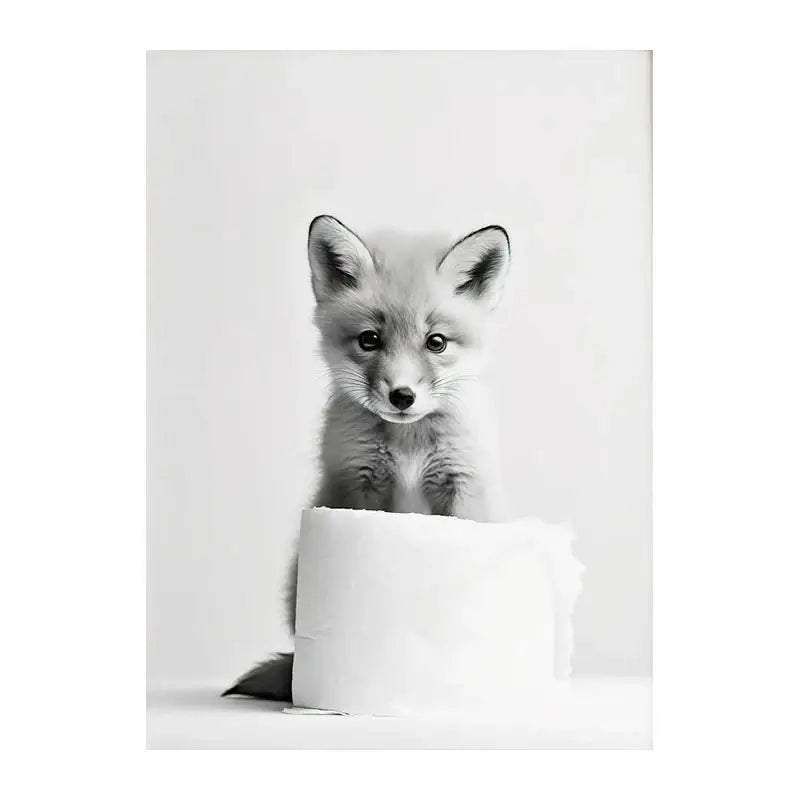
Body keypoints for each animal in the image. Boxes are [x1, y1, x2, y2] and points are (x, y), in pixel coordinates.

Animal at [223, 215, 512, 701]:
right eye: (369, 340)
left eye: (436, 342)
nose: (402, 396)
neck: (409, 442)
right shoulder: (357, 486)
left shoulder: (462, 484)